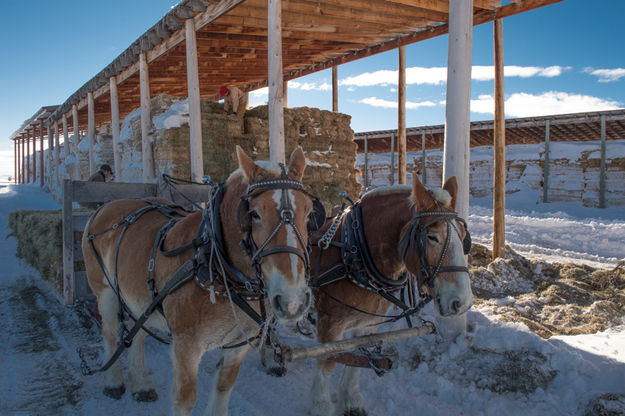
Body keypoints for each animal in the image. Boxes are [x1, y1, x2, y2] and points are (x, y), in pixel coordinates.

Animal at [82, 145, 314, 412]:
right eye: (254, 214)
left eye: (309, 212)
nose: (293, 301)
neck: (214, 264)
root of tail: (108, 205)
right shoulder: (186, 345)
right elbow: (184, 400)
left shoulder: (239, 344)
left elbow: (223, 387)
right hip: (105, 291)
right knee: (111, 333)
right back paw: (113, 382)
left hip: (137, 300)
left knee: (137, 333)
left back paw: (141, 384)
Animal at [304, 176, 470, 416]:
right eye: (432, 237)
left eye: (464, 237)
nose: (462, 303)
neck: (354, 253)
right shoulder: (330, 321)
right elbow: (327, 360)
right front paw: (320, 405)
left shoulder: (368, 323)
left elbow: (359, 355)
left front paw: (351, 398)